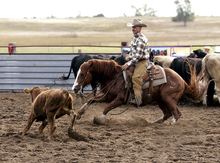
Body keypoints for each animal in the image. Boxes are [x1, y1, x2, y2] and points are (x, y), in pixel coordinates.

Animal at [72, 59, 206, 125]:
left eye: (82, 74)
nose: (74, 88)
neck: (113, 76)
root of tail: (182, 80)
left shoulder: (120, 99)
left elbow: (106, 108)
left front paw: (101, 120)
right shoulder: (108, 96)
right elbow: (91, 100)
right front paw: (80, 112)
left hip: (168, 98)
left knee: (177, 113)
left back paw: (171, 124)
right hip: (160, 100)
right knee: (167, 113)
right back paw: (156, 122)